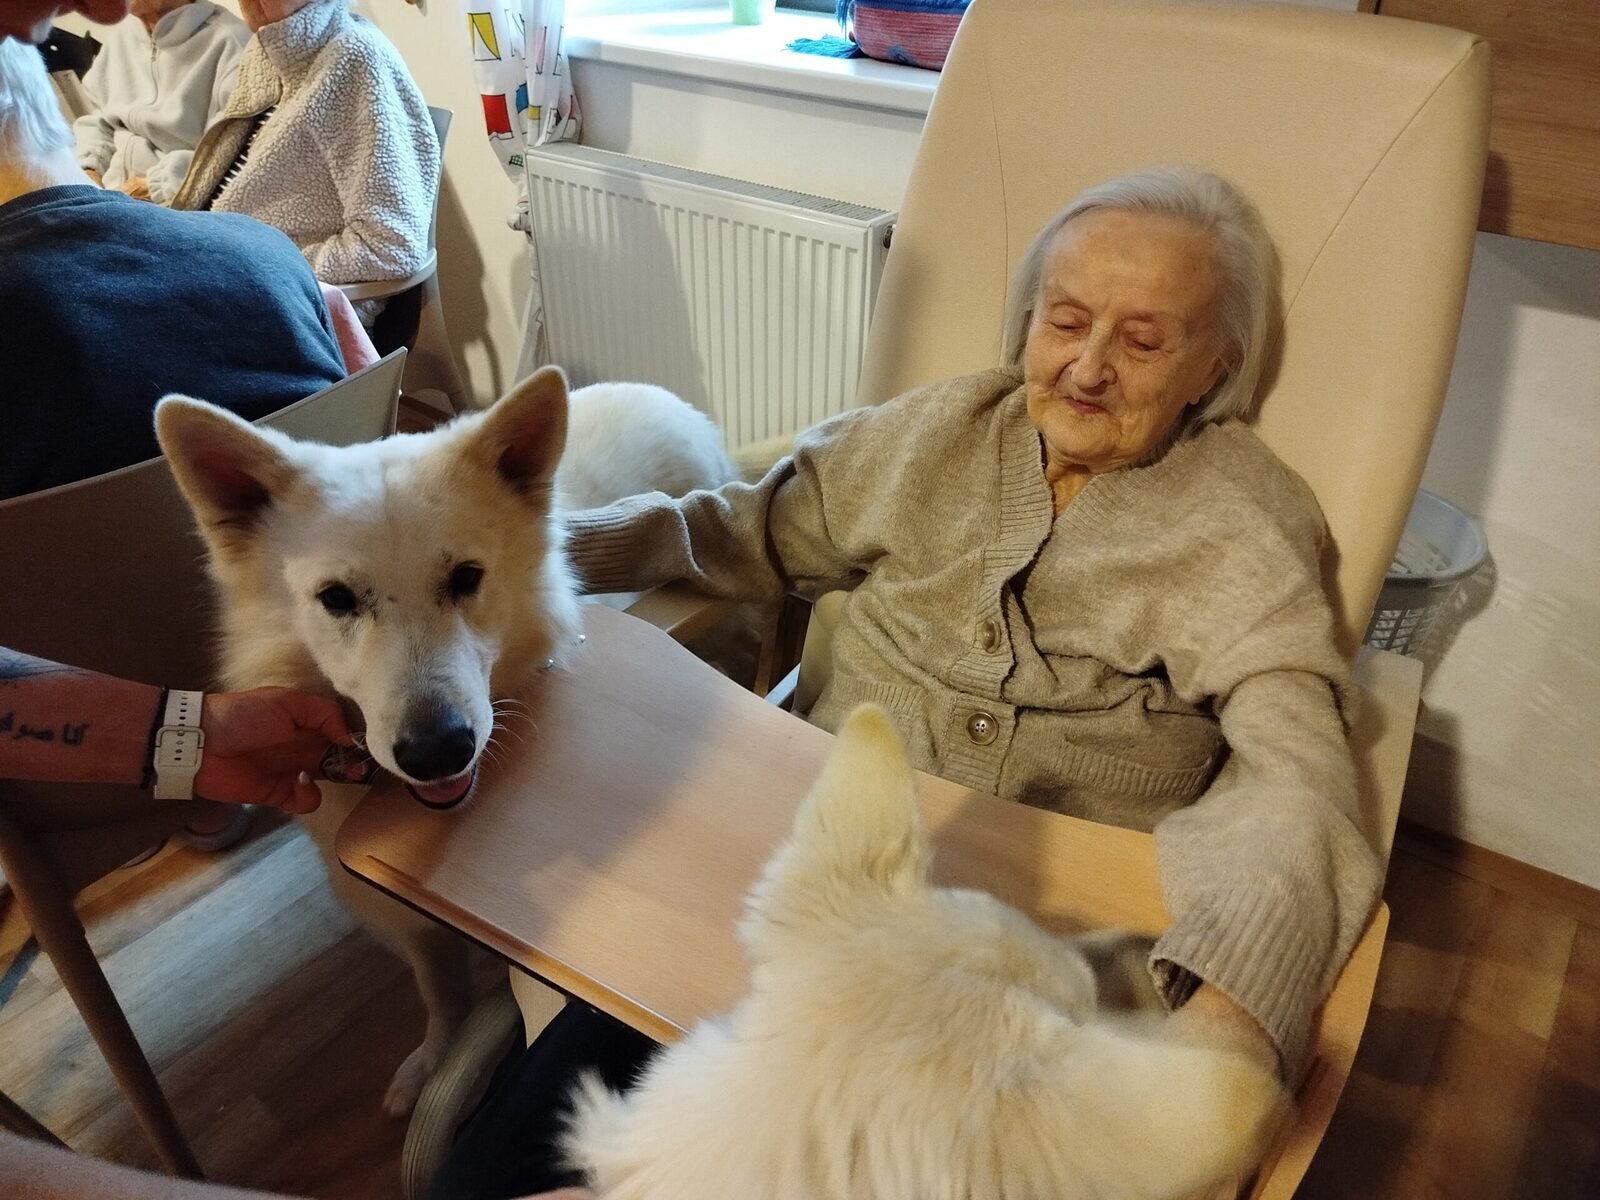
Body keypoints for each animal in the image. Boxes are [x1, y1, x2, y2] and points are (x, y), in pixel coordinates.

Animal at [155, 368, 738, 1113]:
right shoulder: (402, 917)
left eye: (465, 578)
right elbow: (437, 986)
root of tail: (657, 391)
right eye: (337, 598)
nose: (438, 752)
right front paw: (434, 1059)